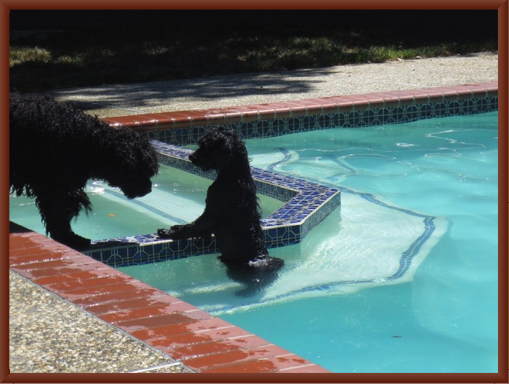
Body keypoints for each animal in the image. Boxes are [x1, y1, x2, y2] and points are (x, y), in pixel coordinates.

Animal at [10, 92, 159, 249]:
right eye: (141, 170)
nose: (148, 188)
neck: (87, 142)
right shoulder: (52, 187)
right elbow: (57, 215)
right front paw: (70, 239)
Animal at [157, 127, 284, 294]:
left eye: (206, 145)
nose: (191, 156)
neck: (233, 176)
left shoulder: (211, 213)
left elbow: (191, 227)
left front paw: (168, 232)